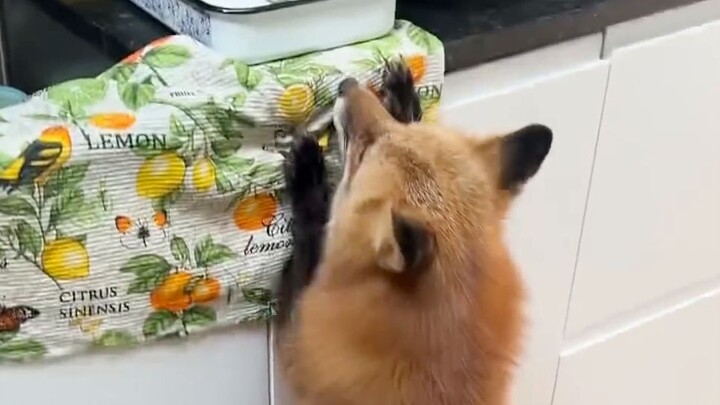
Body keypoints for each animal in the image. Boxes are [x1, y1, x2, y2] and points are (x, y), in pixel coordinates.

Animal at [276, 60, 552, 405]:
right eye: (400, 128)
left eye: (363, 153)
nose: (348, 84)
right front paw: (404, 99)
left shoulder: (296, 340)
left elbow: (311, 233)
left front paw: (307, 172)